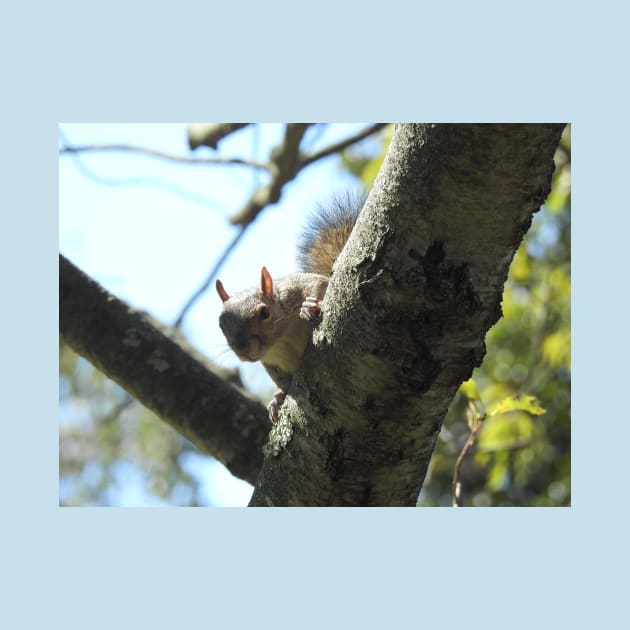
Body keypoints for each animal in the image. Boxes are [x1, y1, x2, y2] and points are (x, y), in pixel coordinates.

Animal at [217, 193, 366, 424]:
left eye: (265, 313)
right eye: (221, 325)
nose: (242, 348)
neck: (280, 340)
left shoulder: (297, 287)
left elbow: (319, 284)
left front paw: (308, 307)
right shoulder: (270, 362)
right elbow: (281, 381)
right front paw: (279, 397)